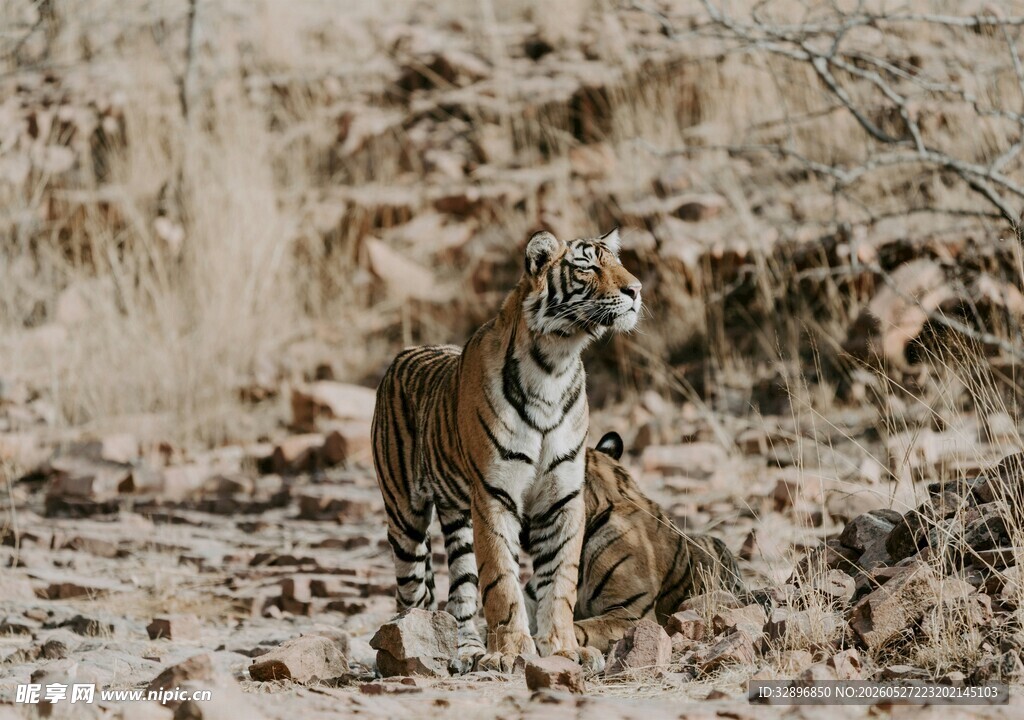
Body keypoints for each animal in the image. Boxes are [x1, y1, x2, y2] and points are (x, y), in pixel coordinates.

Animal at [371, 229, 642, 673]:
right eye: (586, 267)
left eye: (618, 263)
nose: (635, 290)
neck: (555, 364)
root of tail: (404, 353)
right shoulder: (494, 494)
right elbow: (501, 580)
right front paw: (514, 652)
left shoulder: (562, 496)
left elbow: (559, 582)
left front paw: (563, 648)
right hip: (405, 518)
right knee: (411, 593)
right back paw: (405, 652)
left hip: (459, 519)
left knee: (461, 591)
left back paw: (468, 652)